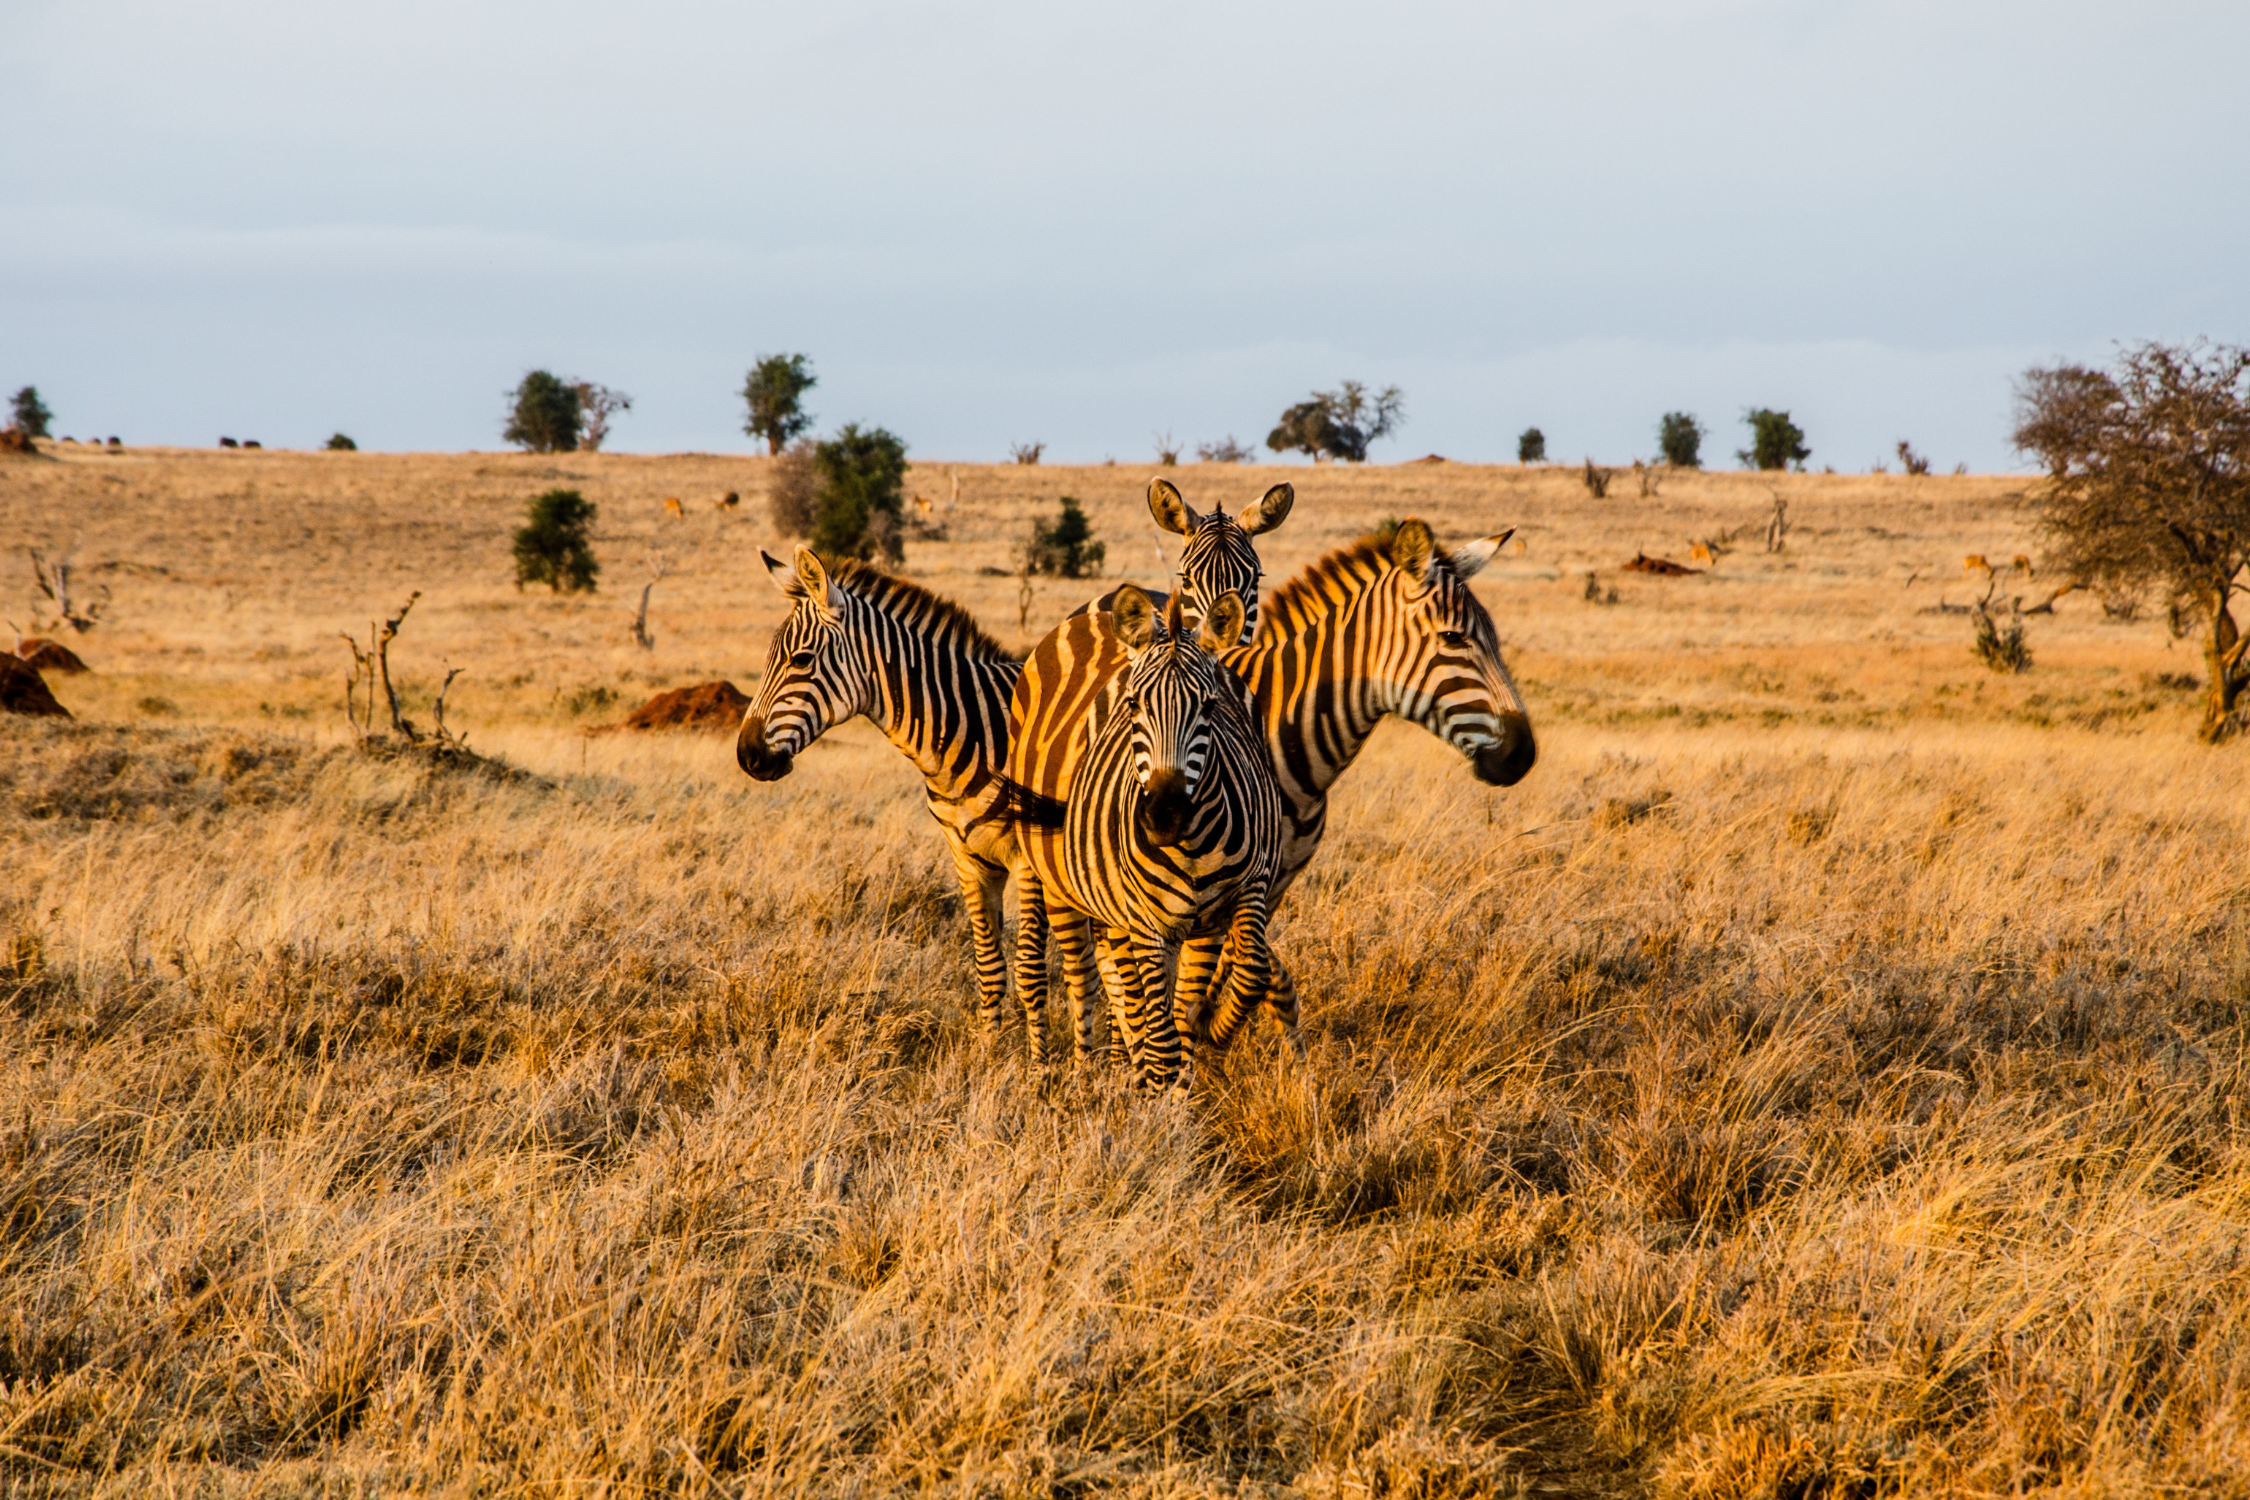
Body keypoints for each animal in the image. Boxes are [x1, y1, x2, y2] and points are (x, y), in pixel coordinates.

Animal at [735, 546, 1038, 1048]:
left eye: (801, 660)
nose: (747, 756)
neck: (977, 729)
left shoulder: (1031, 862)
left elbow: (1032, 971)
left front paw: (1039, 1065)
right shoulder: (967, 857)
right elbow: (990, 966)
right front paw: (990, 1055)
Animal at [1026, 585, 1284, 1093]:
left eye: (1209, 707)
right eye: (1132, 705)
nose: (1165, 818)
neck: (1193, 846)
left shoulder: (1246, 892)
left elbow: (1249, 972)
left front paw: (1210, 1031)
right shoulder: (1146, 920)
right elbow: (1160, 1033)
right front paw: (1160, 1096)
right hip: (1058, 882)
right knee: (1086, 979)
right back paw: (1082, 1070)